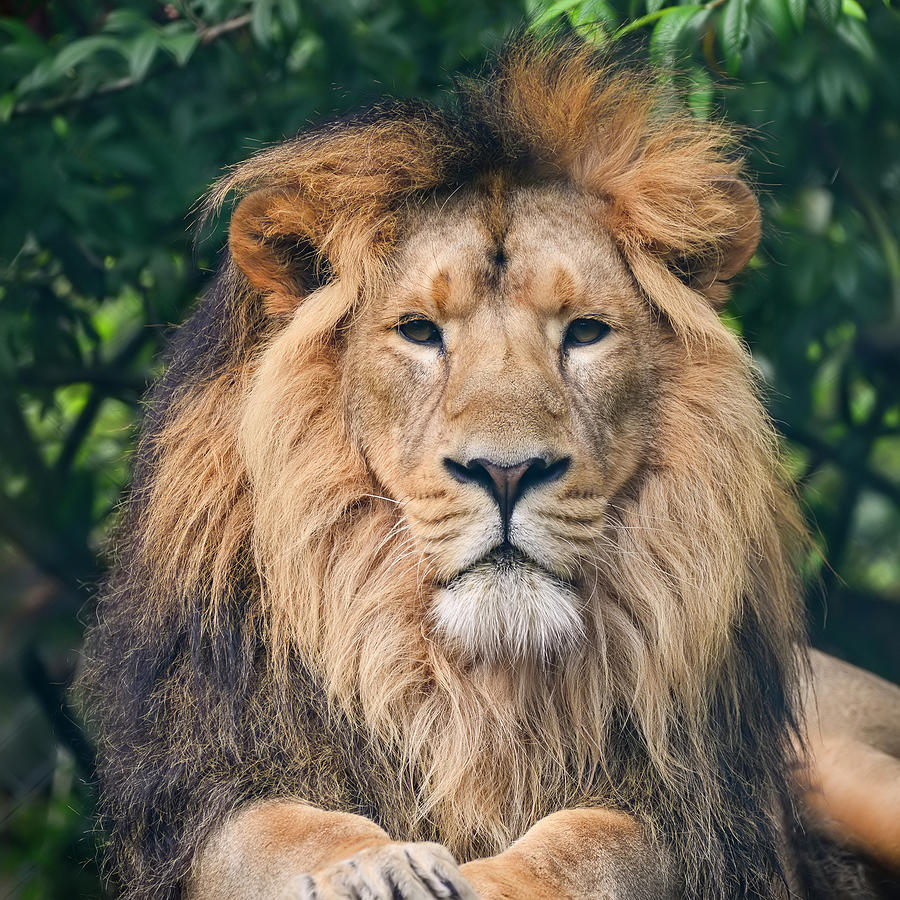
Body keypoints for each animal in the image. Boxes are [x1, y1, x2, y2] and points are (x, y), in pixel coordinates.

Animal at [79, 35, 900, 900]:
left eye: (585, 331)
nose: (506, 474)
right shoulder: (214, 784)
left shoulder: (689, 819)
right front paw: (375, 866)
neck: (474, 685)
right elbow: (289, 829)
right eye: (418, 330)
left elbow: (585, 843)